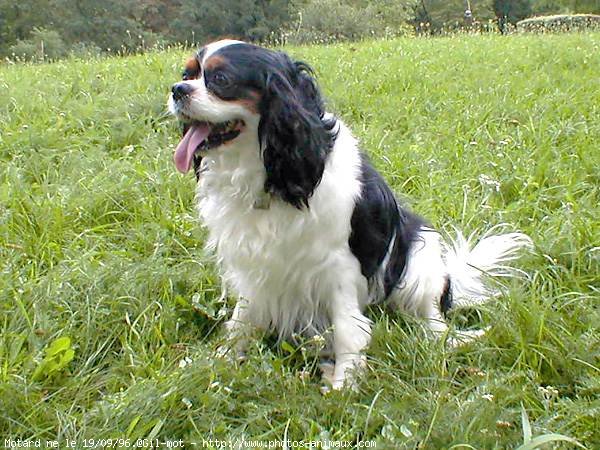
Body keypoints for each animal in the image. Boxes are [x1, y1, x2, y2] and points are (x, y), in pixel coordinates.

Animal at [166, 39, 532, 390]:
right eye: (187, 74)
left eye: (221, 80)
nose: (177, 89)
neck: (269, 172)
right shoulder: (253, 265)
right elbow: (241, 319)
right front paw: (219, 363)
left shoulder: (339, 267)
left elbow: (347, 328)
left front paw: (345, 381)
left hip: (420, 251)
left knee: (434, 320)